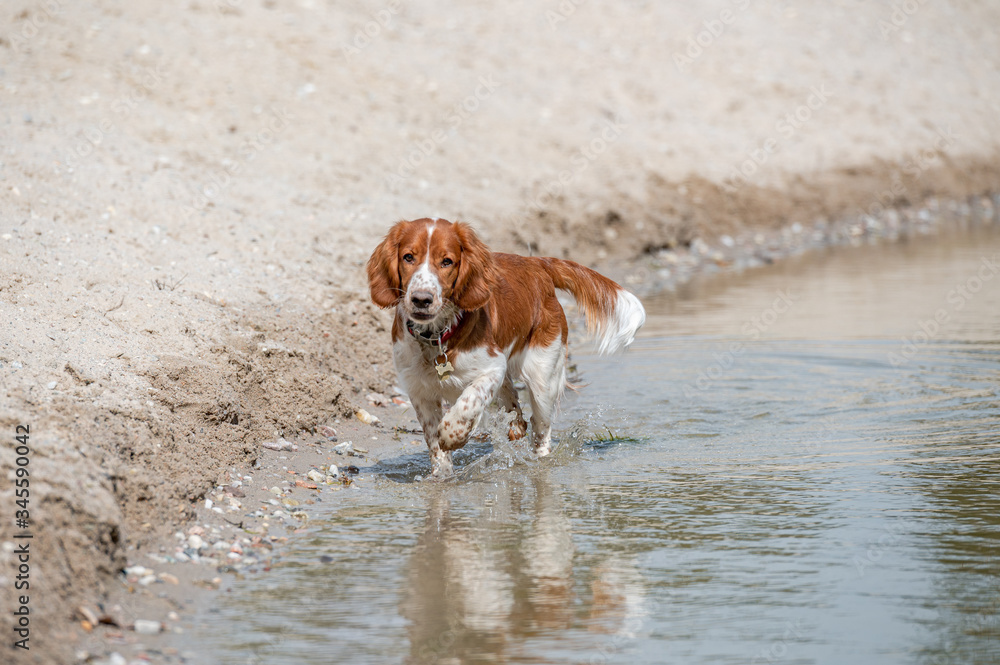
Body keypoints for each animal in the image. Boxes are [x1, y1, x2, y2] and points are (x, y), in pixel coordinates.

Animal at [366, 218, 645, 476]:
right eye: (408, 257)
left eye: (447, 261)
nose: (421, 299)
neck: (438, 336)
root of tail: (537, 264)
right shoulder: (418, 390)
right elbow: (434, 443)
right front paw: (442, 475)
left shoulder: (492, 367)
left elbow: (468, 402)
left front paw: (453, 434)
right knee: (514, 404)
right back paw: (515, 426)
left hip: (543, 376)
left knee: (540, 429)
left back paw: (541, 460)